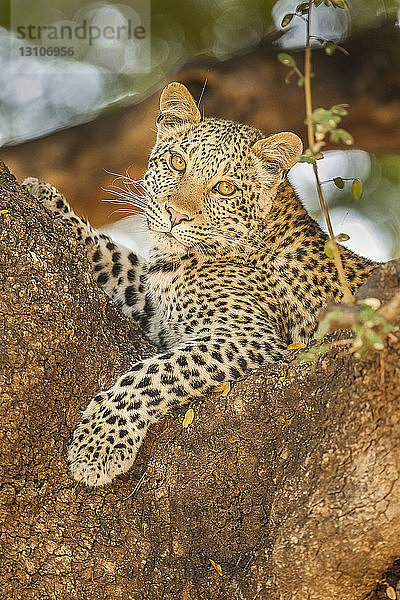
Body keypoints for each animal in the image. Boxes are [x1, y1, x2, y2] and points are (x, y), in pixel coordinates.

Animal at [22, 81, 378, 488]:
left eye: (224, 188)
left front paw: (99, 443)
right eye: (178, 163)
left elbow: (154, 372)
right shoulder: (157, 306)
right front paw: (45, 199)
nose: (175, 215)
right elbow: (114, 257)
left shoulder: (247, 335)